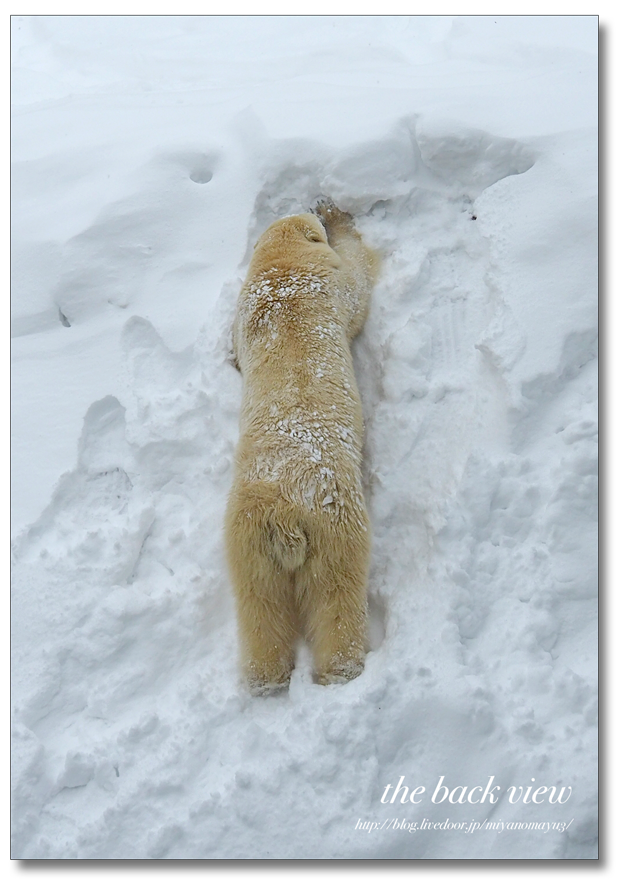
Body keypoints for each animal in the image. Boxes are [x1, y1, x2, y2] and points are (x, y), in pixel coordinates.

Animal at [224, 203, 378, 692]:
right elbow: (357, 286)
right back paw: (342, 671)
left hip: (248, 545)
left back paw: (265, 680)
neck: (281, 272)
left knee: (260, 609)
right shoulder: (329, 280)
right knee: (337, 596)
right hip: (334, 529)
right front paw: (344, 222)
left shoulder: (243, 309)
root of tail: (286, 520)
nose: (315, 207)